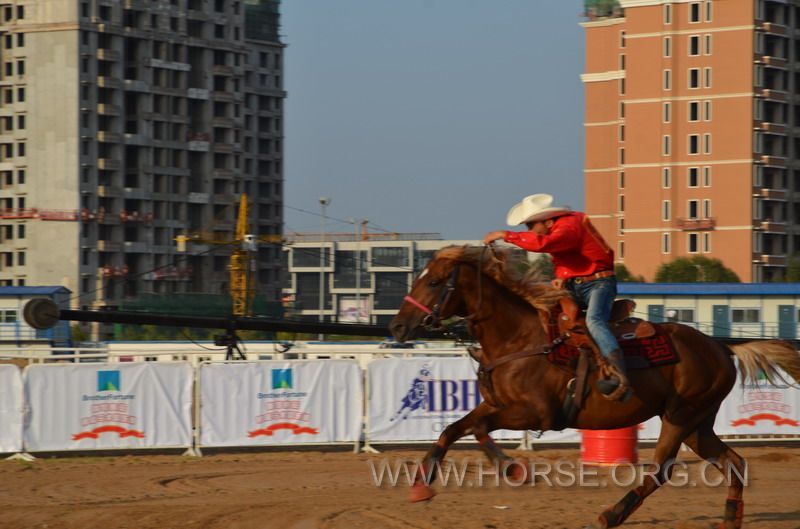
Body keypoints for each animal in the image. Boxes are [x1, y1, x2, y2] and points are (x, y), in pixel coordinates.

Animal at [388, 246, 800, 528]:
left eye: (435, 282)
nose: (396, 327)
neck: (519, 338)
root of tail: (721, 347)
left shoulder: (535, 413)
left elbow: (474, 429)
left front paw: (513, 468)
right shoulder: (496, 405)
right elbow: (453, 429)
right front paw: (421, 487)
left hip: (681, 417)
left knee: (661, 470)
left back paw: (609, 515)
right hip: (699, 424)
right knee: (734, 464)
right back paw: (729, 519)